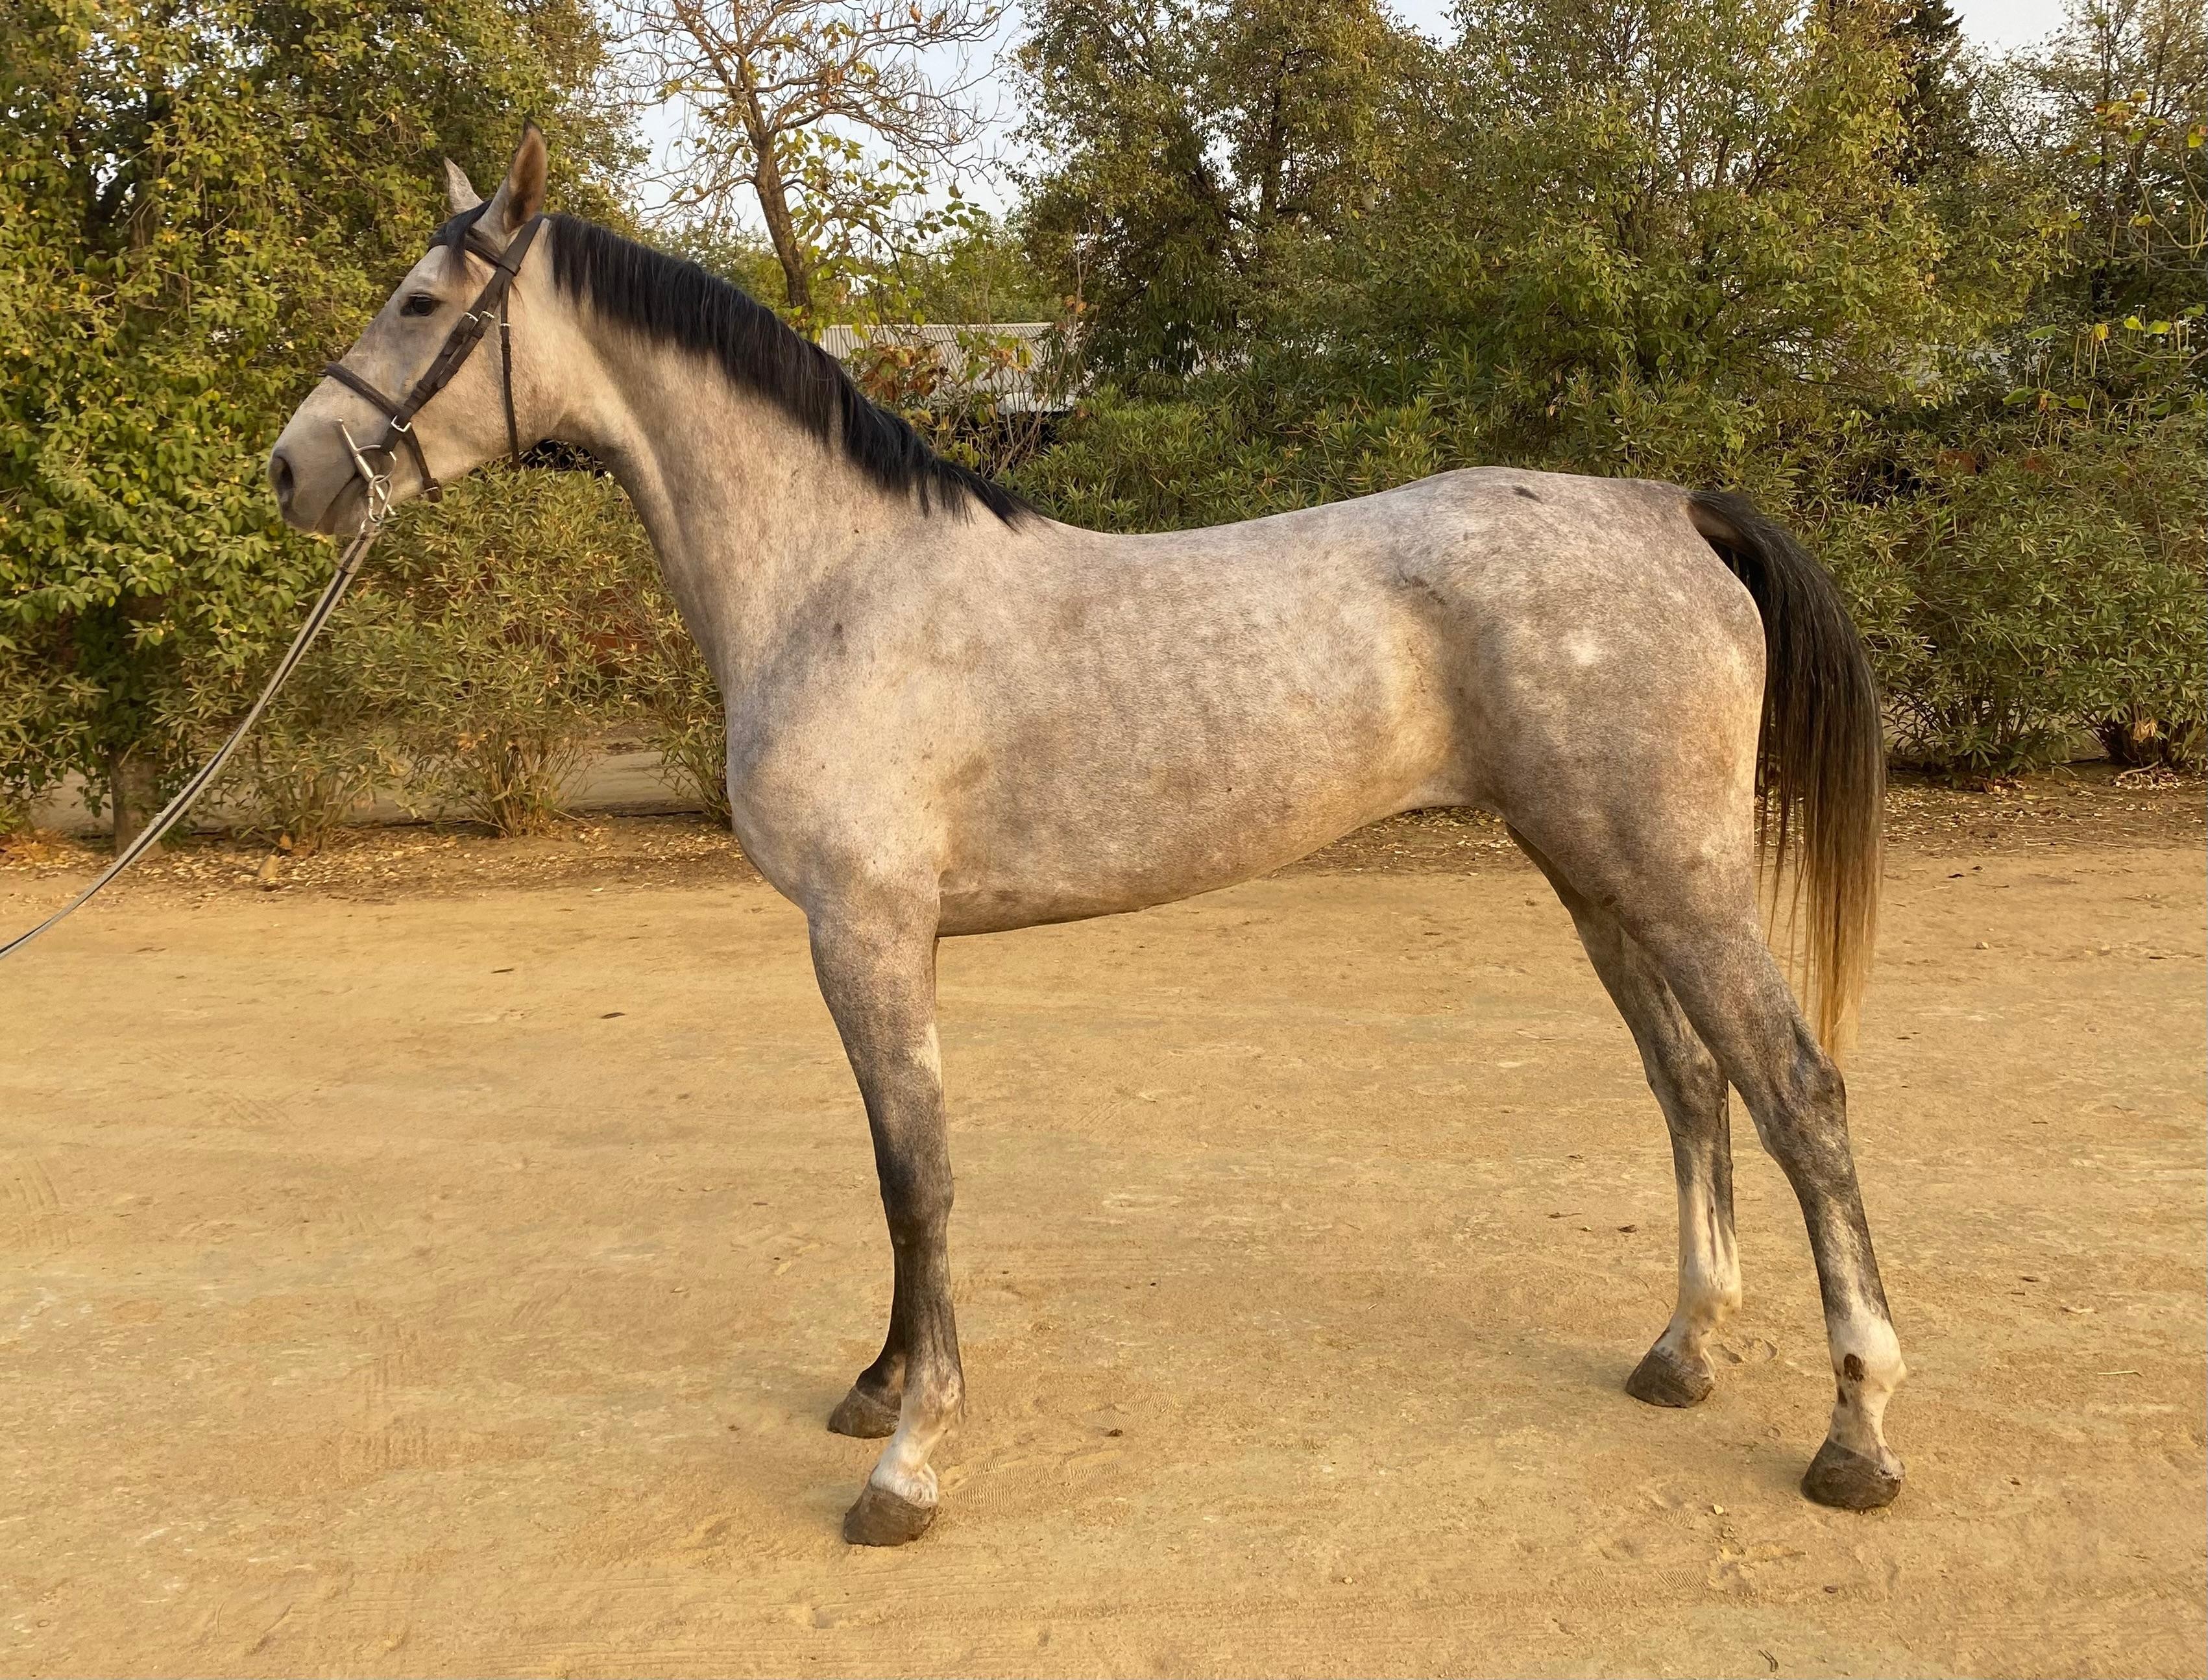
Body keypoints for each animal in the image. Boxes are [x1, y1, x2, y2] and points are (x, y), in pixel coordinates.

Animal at [269, 127, 1905, 1546]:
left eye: (422, 301)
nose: (293, 468)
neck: (834, 580)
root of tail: (1670, 506)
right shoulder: (869, 941)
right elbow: (892, 1171)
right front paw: (877, 1386)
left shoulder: (866, 928)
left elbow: (917, 1175)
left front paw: (908, 1458)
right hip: (1593, 874)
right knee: (1690, 1082)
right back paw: (1682, 1347)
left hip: (1679, 879)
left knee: (1802, 1089)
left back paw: (1856, 1430)